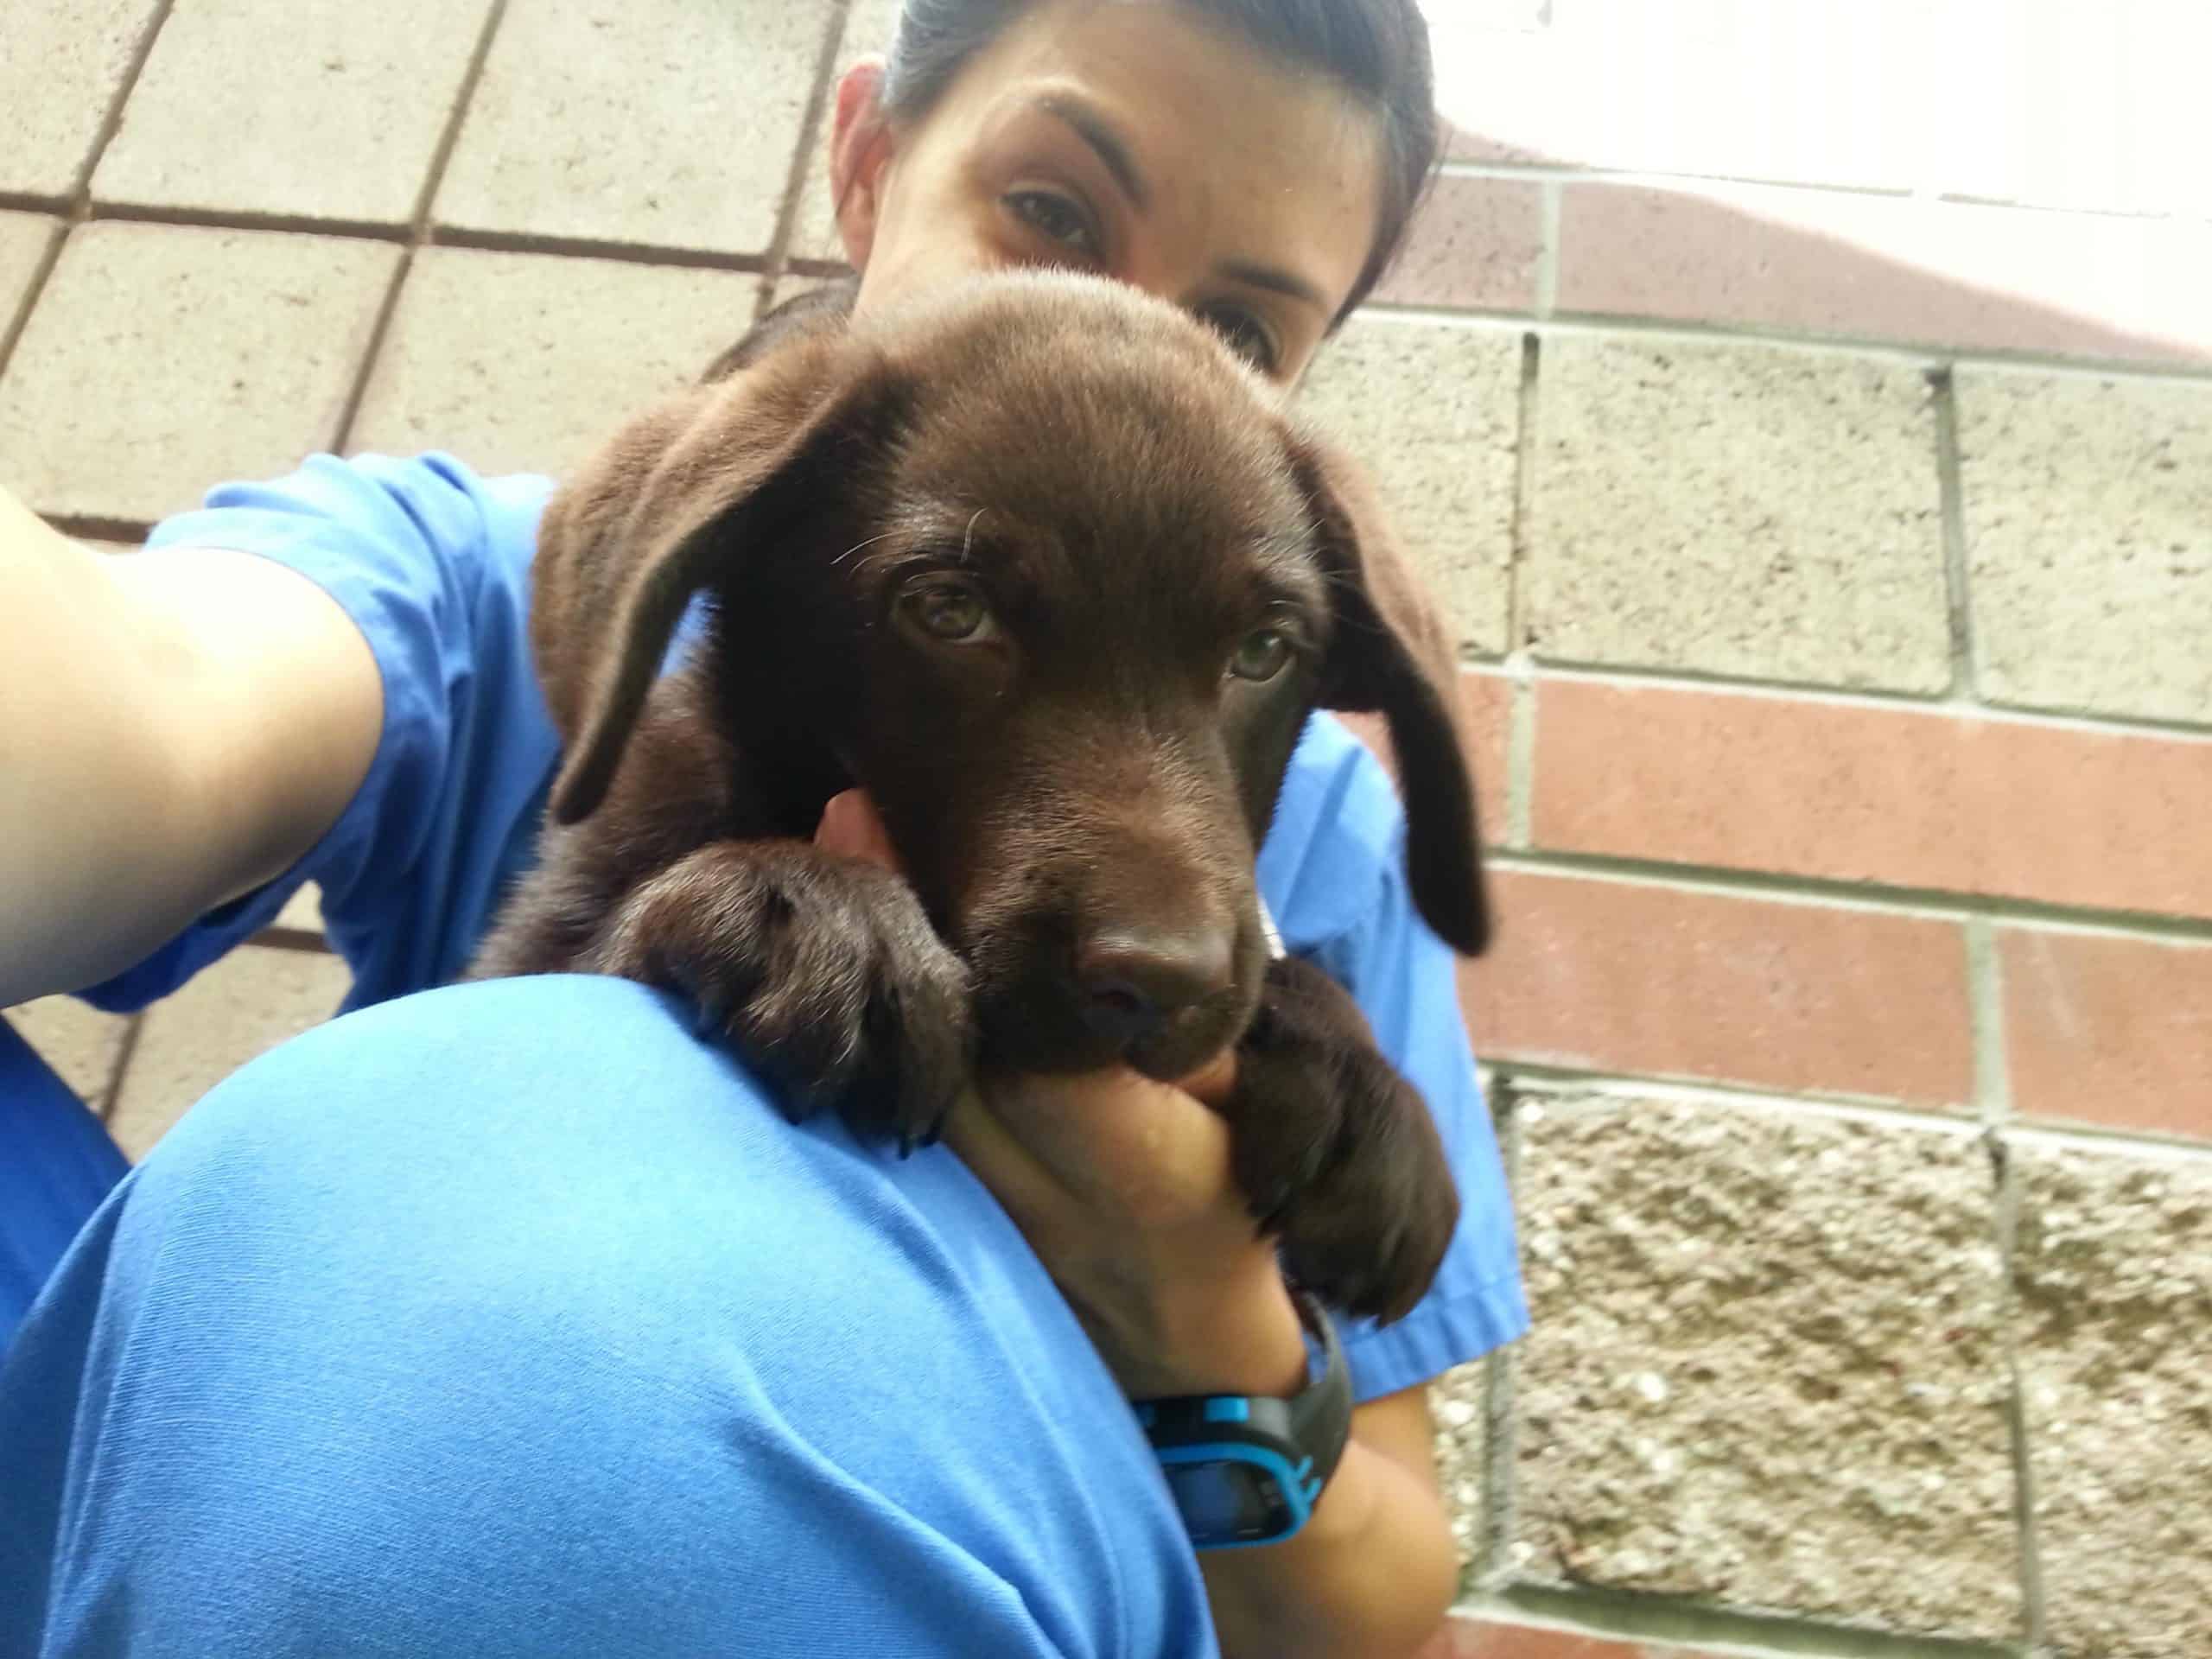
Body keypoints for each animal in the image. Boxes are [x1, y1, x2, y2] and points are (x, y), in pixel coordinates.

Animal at [477, 276, 1495, 1336]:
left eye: (1263, 652)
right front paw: (806, 907)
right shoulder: (527, 944)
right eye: (951, 611)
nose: (1158, 980)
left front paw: (1356, 1074)